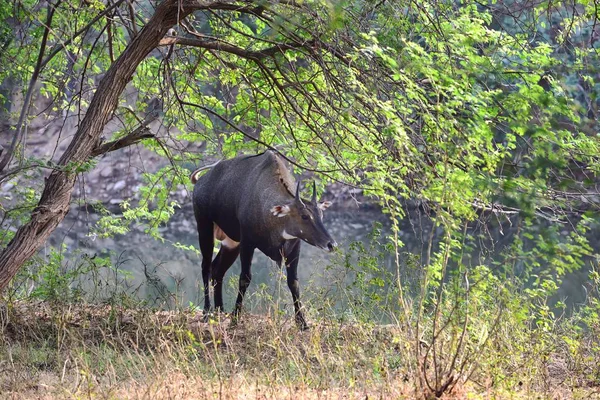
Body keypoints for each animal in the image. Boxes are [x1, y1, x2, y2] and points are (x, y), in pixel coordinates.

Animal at [190, 152, 336, 330]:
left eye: (321, 214)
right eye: (304, 216)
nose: (331, 244)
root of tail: (200, 182)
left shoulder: (295, 246)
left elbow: (293, 282)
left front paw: (302, 323)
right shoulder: (247, 242)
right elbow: (245, 278)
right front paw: (235, 318)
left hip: (231, 241)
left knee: (218, 269)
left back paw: (220, 310)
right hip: (204, 227)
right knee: (206, 267)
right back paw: (207, 311)